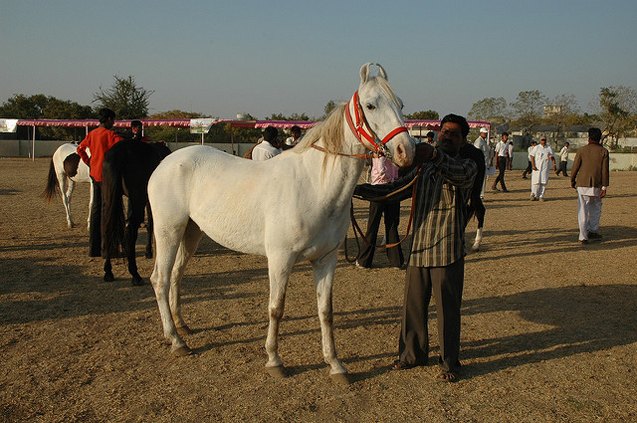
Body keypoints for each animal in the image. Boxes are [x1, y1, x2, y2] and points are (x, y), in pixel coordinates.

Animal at [100, 141, 170, 286]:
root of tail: (120, 151)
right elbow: (151, 223)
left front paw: (149, 251)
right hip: (138, 199)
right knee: (131, 229)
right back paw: (135, 274)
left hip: (110, 199)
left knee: (106, 226)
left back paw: (108, 271)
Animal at [149, 63, 418, 384]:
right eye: (370, 105)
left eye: (401, 104)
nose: (406, 151)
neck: (314, 185)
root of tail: (166, 162)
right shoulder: (280, 259)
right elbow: (276, 308)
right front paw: (274, 360)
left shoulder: (326, 260)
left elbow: (325, 311)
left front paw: (335, 365)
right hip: (169, 230)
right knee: (161, 279)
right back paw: (176, 341)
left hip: (192, 232)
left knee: (177, 275)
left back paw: (183, 327)